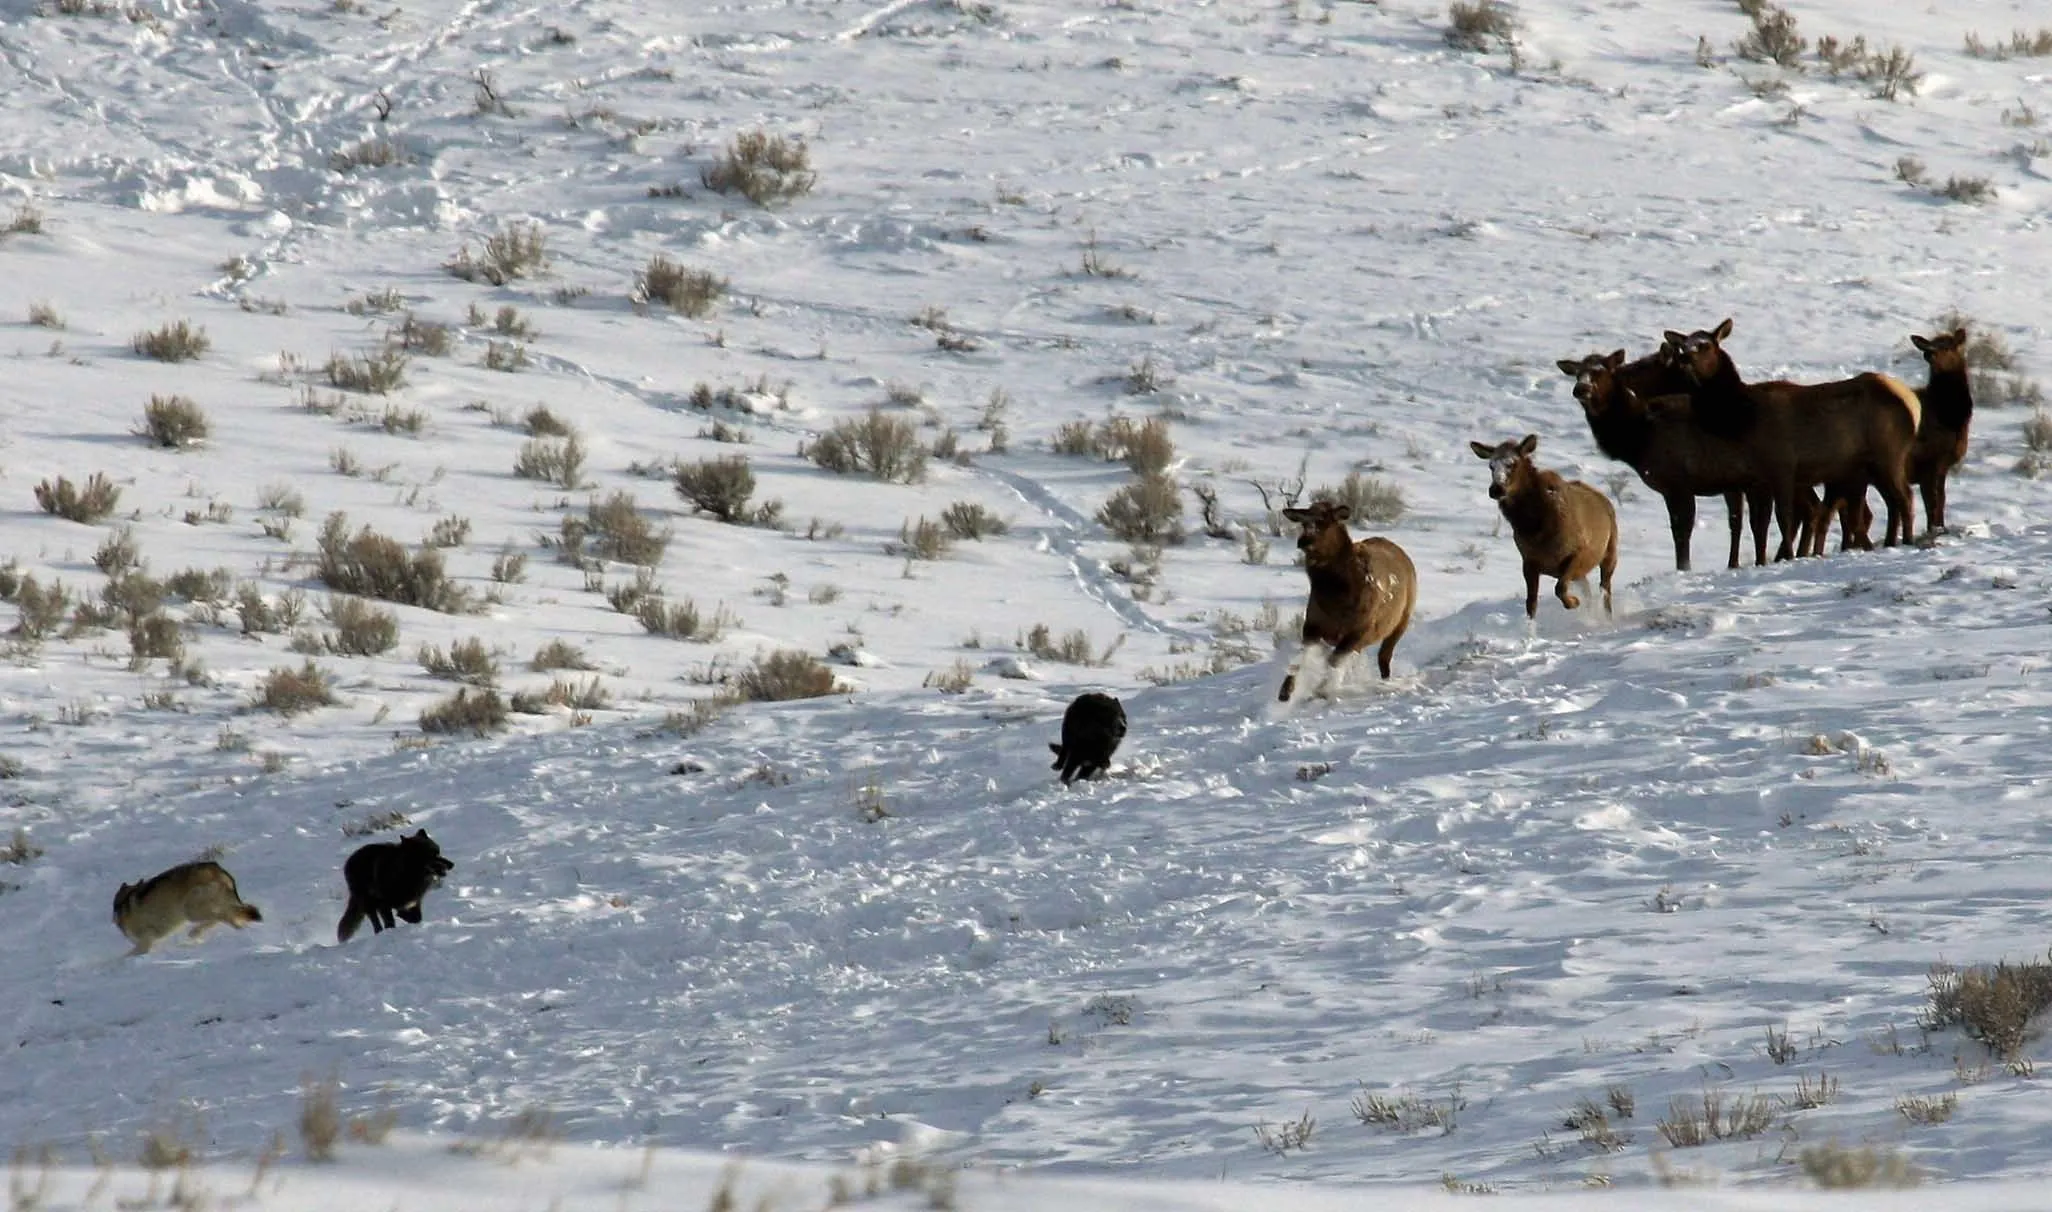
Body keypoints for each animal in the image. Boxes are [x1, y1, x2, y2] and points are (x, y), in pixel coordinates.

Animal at [113, 860, 263, 956]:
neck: (123, 904)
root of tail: (218, 870)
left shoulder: (145, 942)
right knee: (227, 915)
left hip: (190, 910)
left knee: (223, 916)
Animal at [1276, 501, 1416, 703]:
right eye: (1303, 522)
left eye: (1324, 520)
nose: (1303, 541)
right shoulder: (1312, 625)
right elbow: (1301, 658)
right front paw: (1286, 691)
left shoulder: (1360, 629)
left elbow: (1333, 660)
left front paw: (1320, 689)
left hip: (1401, 622)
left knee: (1384, 657)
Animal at [1470, 434, 1618, 619]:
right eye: (1491, 465)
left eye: (1512, 463)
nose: (1496, 489)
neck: (1536, 527)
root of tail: (1604, 500)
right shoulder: (1529, 561)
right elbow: (1531, 605)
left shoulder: (1579, 552)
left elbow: (1560, 588)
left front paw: (1574, 602)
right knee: (1589, 590)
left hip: (1610, 553)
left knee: (1605, 590)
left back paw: (1607, 617)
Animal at [1558, 350, 1779, 571]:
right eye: (1577, 374)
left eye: (1600, 371)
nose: (1580, 389)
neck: (1639, 438)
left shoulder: (1680, 484)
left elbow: (1682, 532)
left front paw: (1684, 567)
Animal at [1661, 318, 1921, 559]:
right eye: (1683, 346)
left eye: (1704, 345)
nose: (1684, 359)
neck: (1742, 419)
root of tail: (1913, 405)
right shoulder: (1758, 478)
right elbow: (1760, 524)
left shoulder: (1782, 465)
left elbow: (1784, 518)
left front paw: (1787, 555)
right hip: (1869, 466)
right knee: (1891, 502)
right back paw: (1890, 542)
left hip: (1888, 454)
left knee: (1904, 497)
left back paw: (1906, 541)